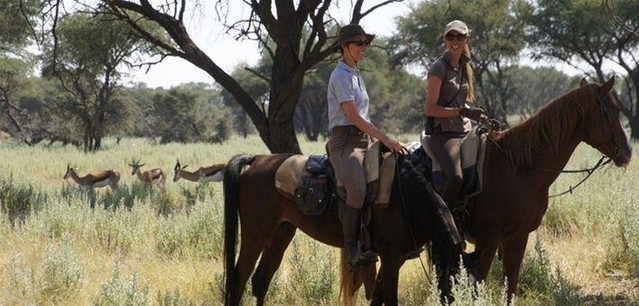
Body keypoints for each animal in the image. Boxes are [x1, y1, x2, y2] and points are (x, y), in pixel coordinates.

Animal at [222, 154, 462, 304]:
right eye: (451, 274)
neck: (404, 199)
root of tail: (257, 160)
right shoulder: (391, 258)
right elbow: (389, 299)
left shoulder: (396, 259)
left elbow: (377, 298)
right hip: (255, 236)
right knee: (238, 279)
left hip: (280, 235)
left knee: (260, 281)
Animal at [418, 77, 632, 298]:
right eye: (614, 110)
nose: (628, 152)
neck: (519, 168)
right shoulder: (487, 239)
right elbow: (478, 287)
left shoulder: (518, 237)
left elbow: (510, 288)